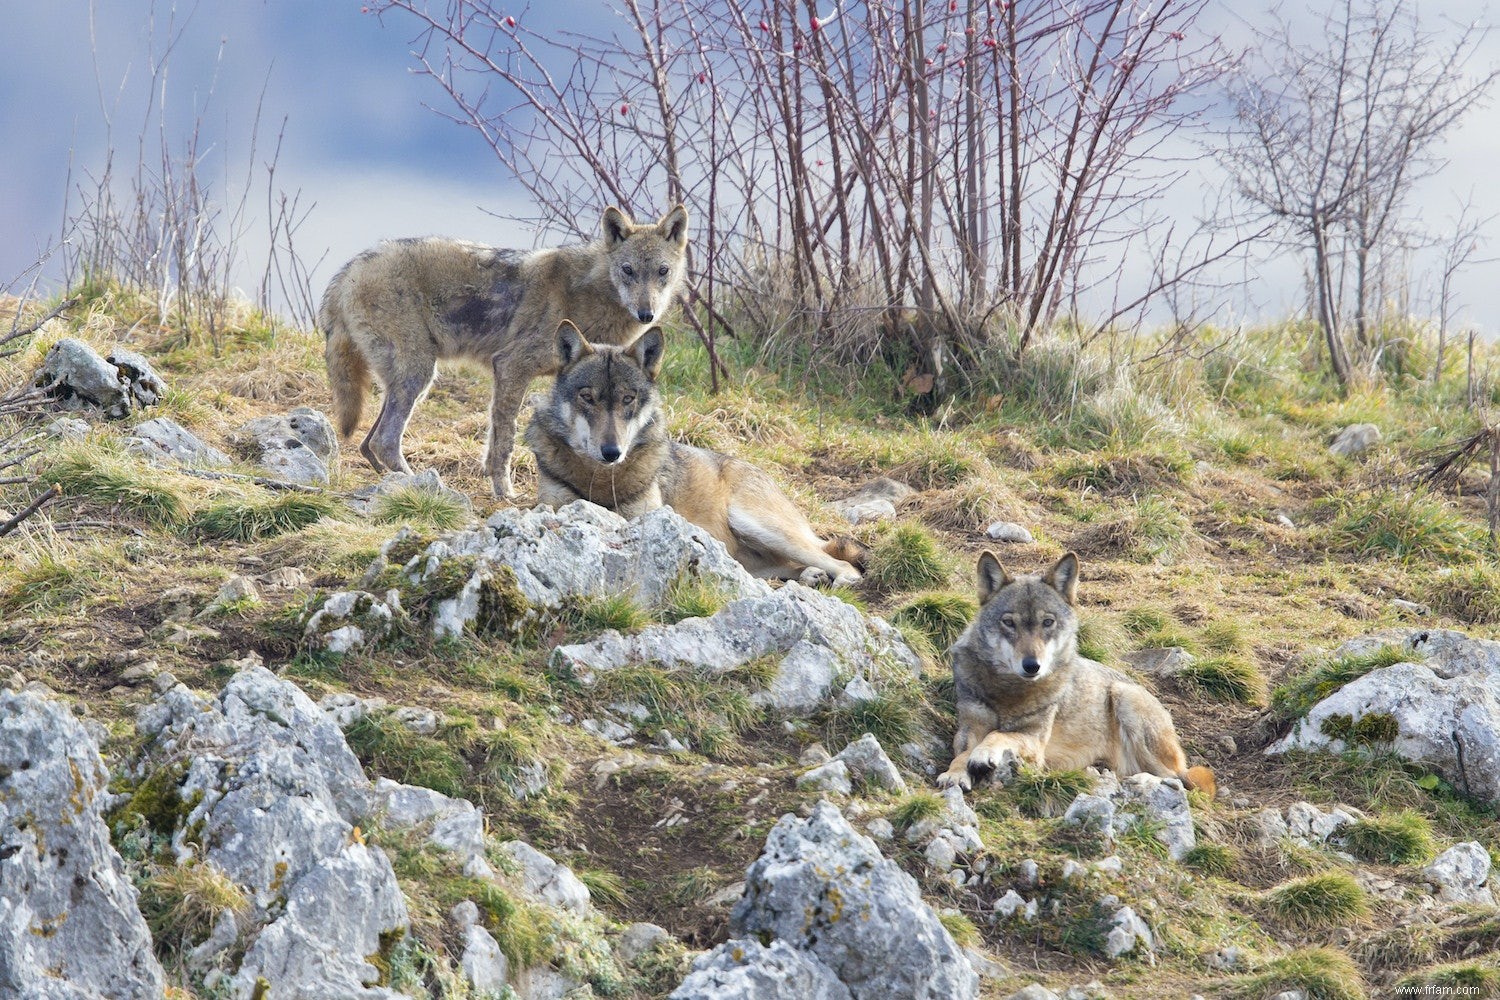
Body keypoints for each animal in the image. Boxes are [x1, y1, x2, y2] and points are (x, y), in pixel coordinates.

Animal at [325, 203, 687, 500]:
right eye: (627, 270)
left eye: (662, 272)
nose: (646, 314)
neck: (589, 294)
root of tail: (349, 269)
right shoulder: (511, 366)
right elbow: (505, 438)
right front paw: (504, 492)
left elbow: (495, 439)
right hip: (419, 375)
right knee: (383, 441)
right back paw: (427, 488)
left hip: (406, 382)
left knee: (368, 443)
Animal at [525, 320, 870, 587]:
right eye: (587, 397)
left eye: (628, 399)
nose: (612, 452)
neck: (599, 479)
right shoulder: (553, 504)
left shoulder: (645, 515)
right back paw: (810, 576)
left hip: (757, 524)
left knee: (844, 564)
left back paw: (835, 579)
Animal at [942, 548, 1212, 797]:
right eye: (1009, 623)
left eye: (1047, 622)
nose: (1032, 665)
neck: (1010, 691)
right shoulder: (969, 728)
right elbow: (963, 752)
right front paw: (954, 773)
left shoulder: (1035, 741)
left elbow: (998, 734)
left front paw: (983, 753)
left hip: (1124, 698)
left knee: (1178, 780)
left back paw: (1142, 781)